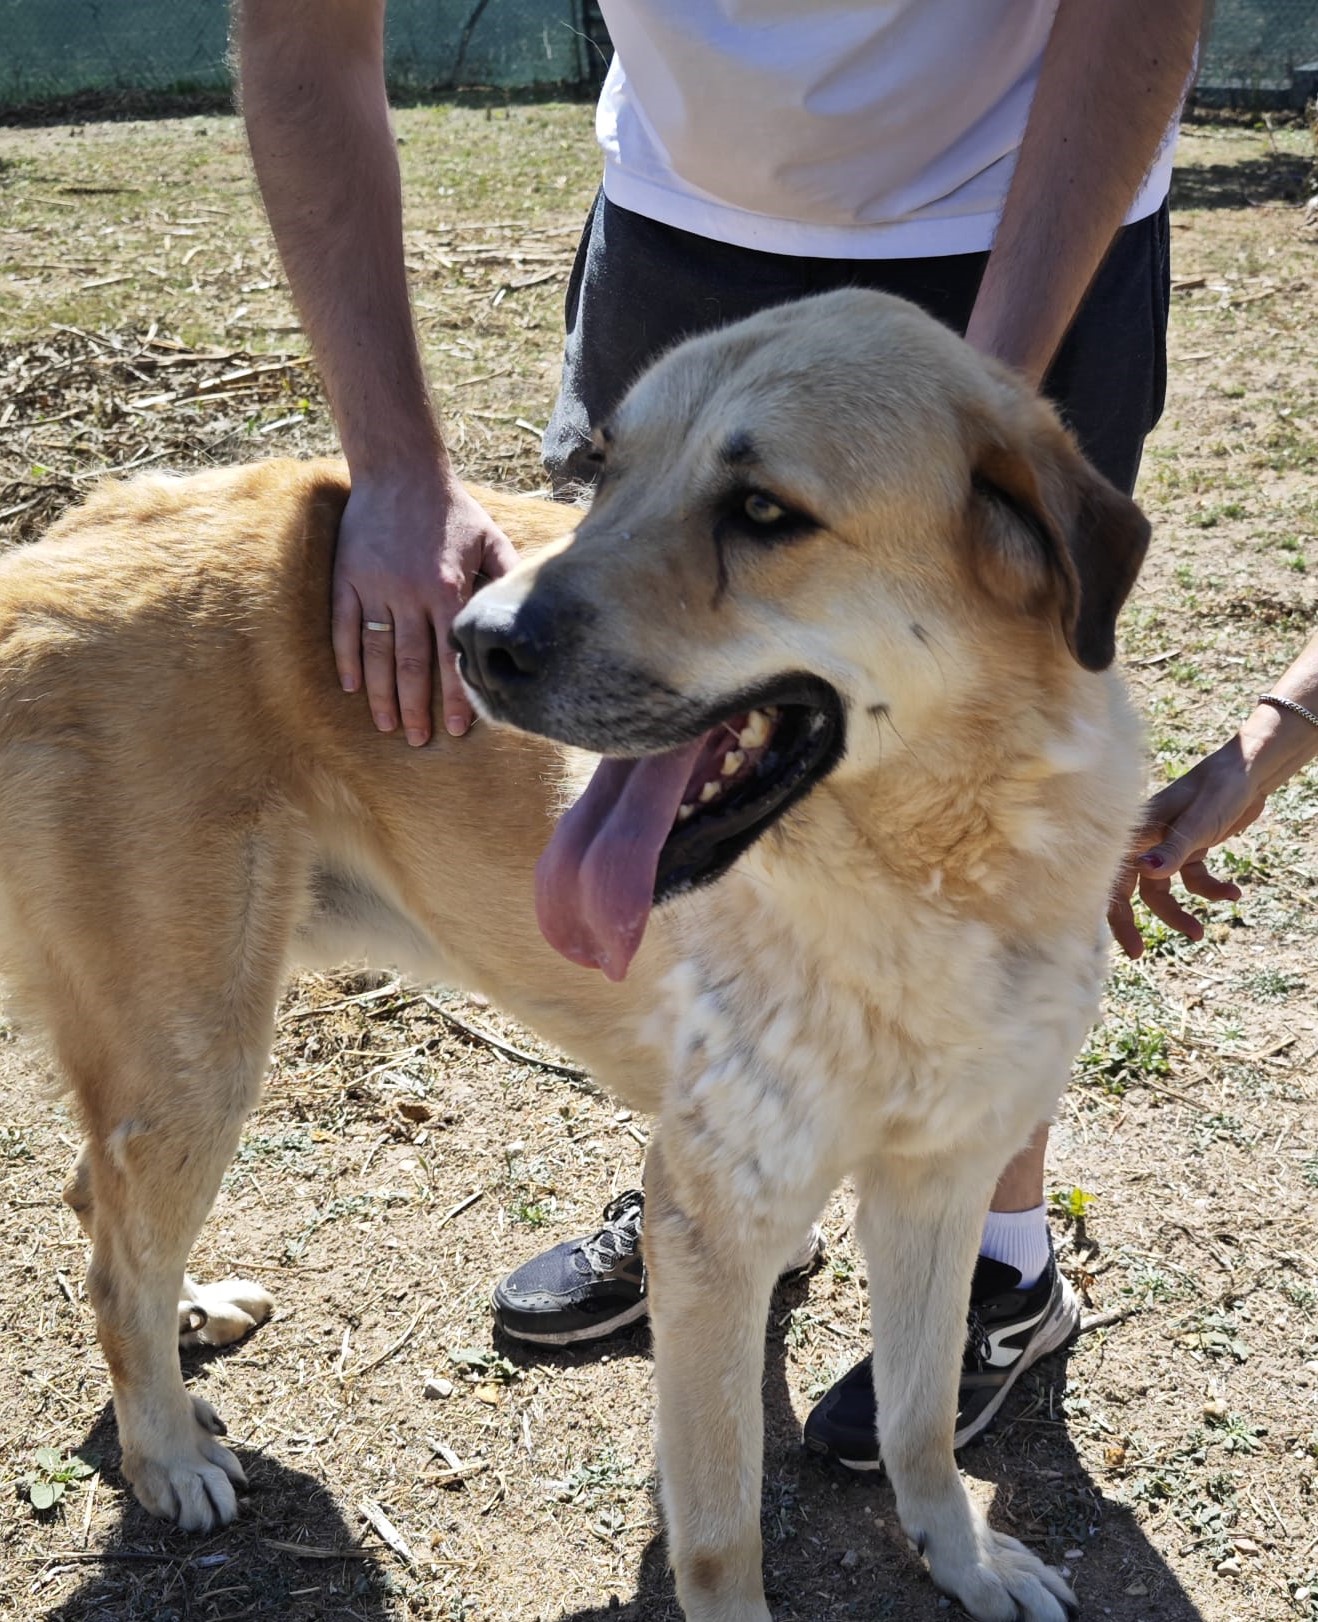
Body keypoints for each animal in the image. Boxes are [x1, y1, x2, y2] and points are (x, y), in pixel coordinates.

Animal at [2, 295, 1141, 1622]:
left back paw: (183, 1319)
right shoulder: (712, 1236)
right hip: (199, 1053)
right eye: (602, 469)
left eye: (764, 512)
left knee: (102, 1208)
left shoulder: (939, 1182)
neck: (929, 880)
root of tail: (46, 551)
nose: (471, 640)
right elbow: (720, 1531)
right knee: (112, 1258)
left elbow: (917, 1421)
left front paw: (964, 1563)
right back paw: (168, 1452)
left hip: (173, 1063)